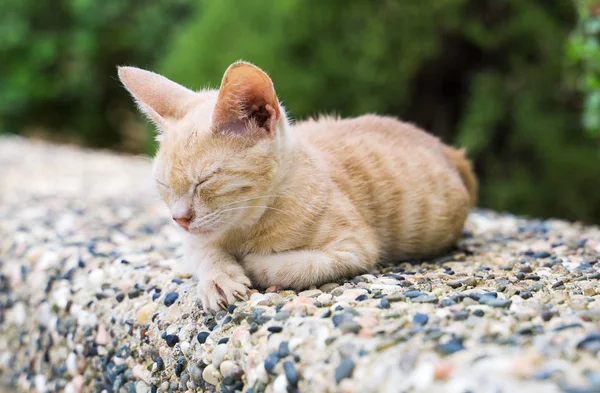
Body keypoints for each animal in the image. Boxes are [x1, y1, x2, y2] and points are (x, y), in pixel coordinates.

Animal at [118, 60, 478, 310]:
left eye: (205, 180)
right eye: (164, 186)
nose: (179, 218)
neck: (246, 226)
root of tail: (449, 150)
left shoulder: (354, 247)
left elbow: (297, 265)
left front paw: (251, 263)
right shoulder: (193, 241)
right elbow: (203, 252)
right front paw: (219, 276)